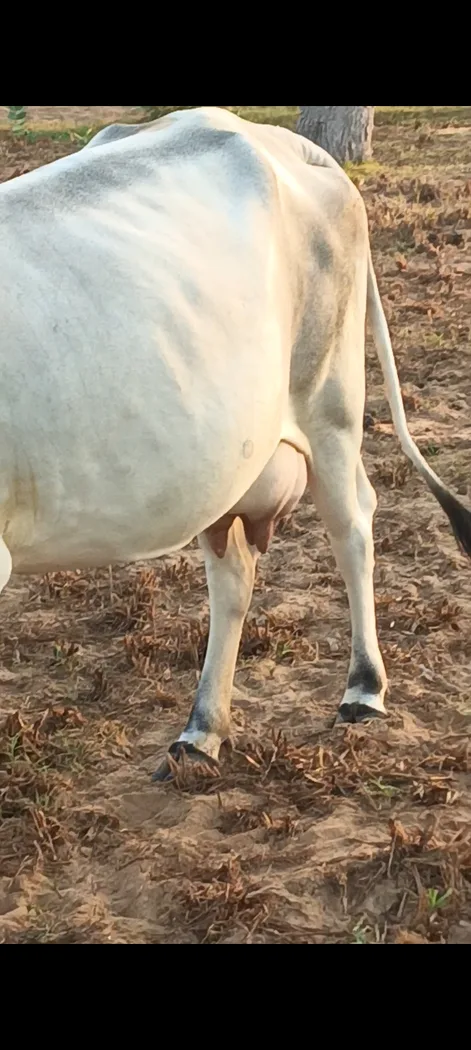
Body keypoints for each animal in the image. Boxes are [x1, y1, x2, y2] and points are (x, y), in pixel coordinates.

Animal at [0, 106, 470, 782]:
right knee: (234, 576)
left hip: (329, 402)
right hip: (221, 464)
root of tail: (283, 141)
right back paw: (202, 729)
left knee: (353, 526)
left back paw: (363, 688)